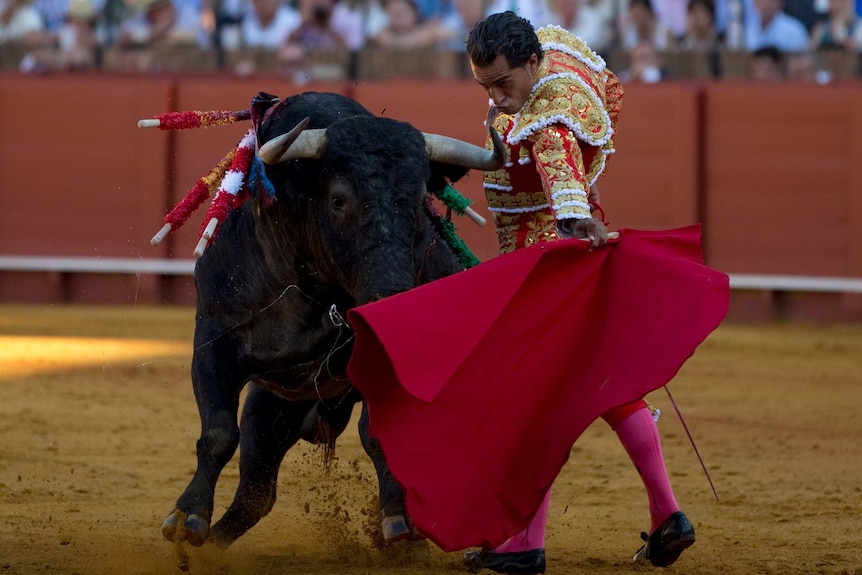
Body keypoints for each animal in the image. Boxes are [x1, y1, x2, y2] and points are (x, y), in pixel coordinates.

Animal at [162, 91, 506, 552]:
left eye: (419, 201)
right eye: (338, 200)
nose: (391, 299)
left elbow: (380, 434)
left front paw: (399, 521)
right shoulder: (213, 339)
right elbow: (218, 432)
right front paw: (188, 517)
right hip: (272, 407)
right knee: (256, 493)